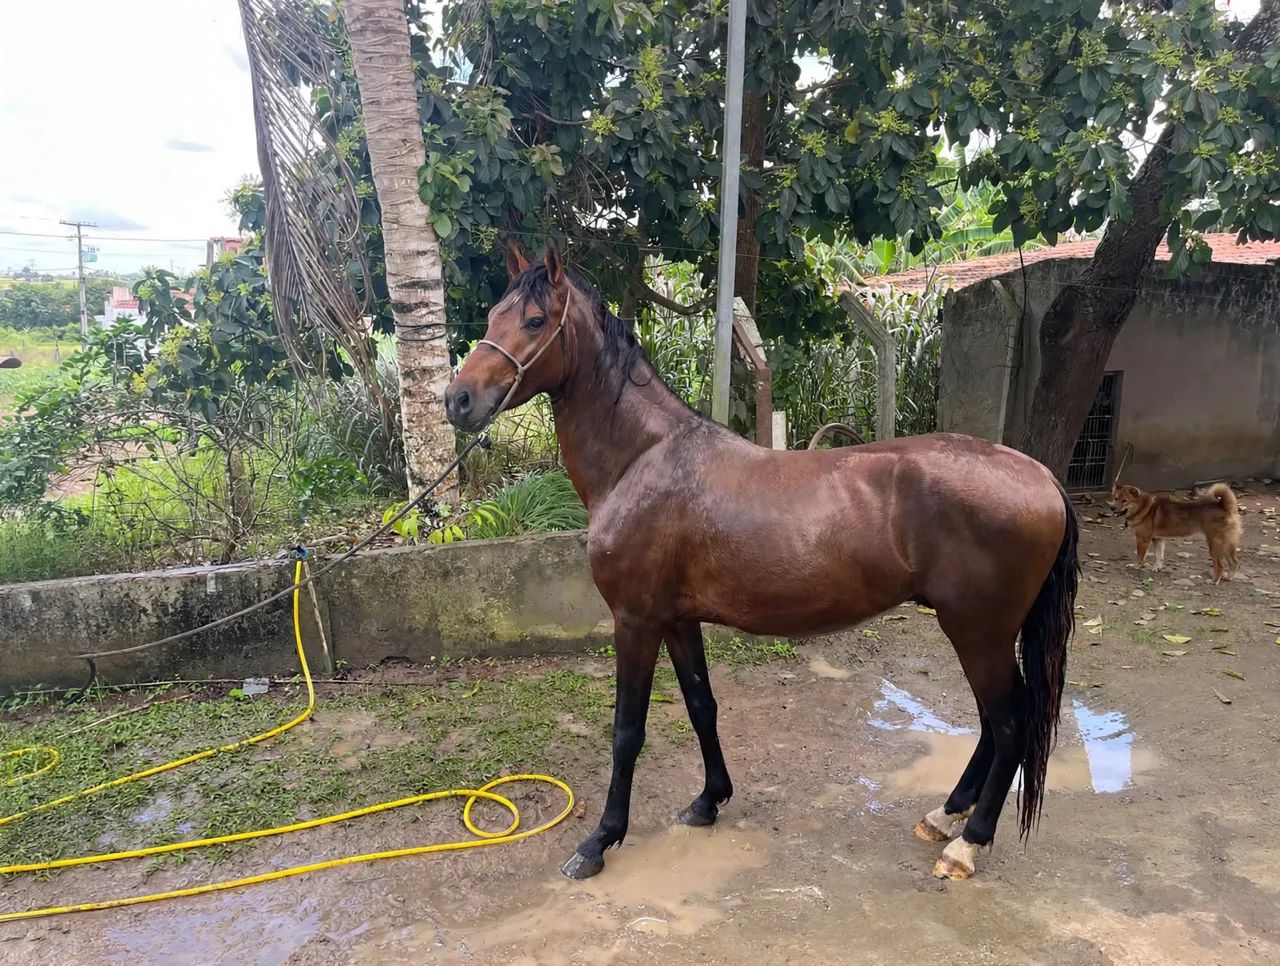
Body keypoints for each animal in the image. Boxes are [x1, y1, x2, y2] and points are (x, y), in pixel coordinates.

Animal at [444, 240, 1079, 882]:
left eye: (535, 321)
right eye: (493, 315)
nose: (458, 400)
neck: (643, 459)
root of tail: (1041, 476)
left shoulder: (635, 622)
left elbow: (627, 730)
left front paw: (600, 840)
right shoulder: (677, 620)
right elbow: (701, 705)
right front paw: (709, 800)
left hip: (978, 630)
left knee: (1009, 723)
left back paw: (967, 843)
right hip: (978, 631)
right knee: (993, 723)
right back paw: (945, 816)